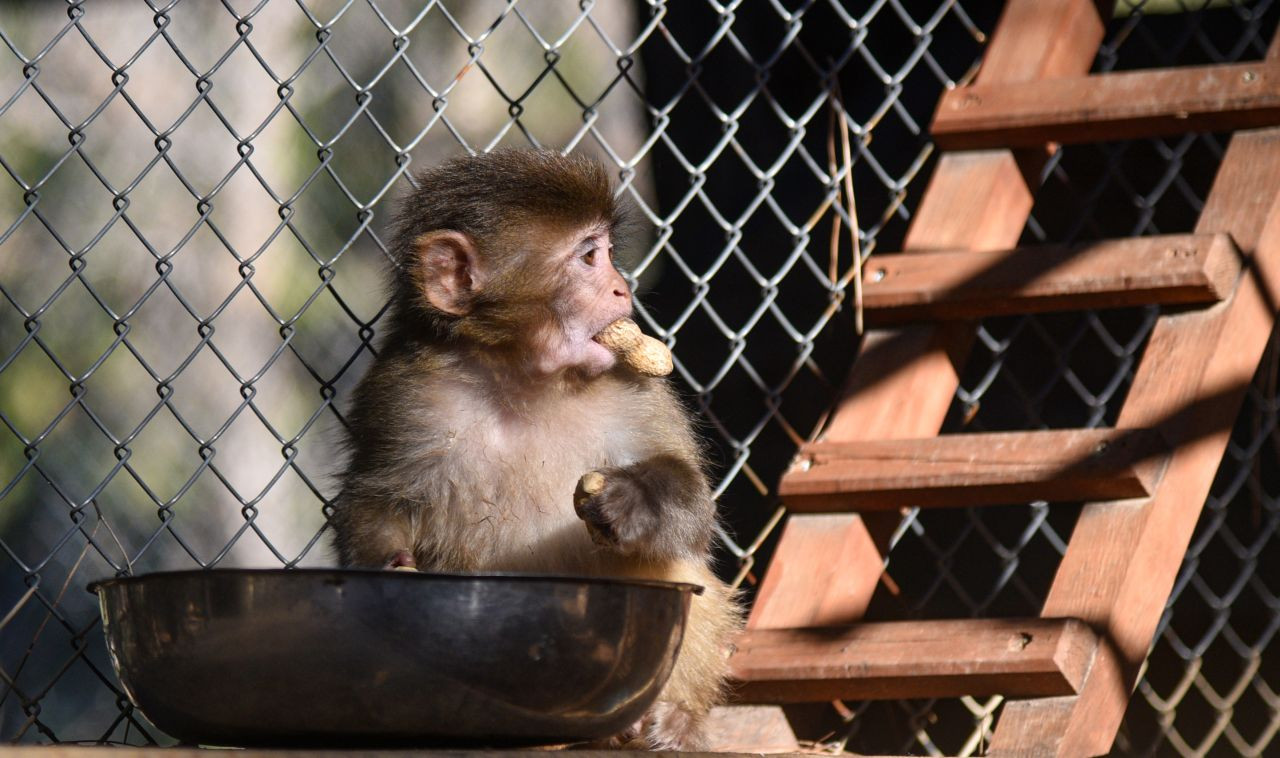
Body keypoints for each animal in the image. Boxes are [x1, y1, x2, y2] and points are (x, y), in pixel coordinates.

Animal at [332, 149, 742, 752]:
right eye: (589, 257)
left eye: (607, 254)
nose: (622, 288)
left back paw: (669, 723)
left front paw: (635, 499)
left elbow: (693, 510)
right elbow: (375, 499)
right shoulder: (402, 392)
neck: (522, 379)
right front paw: (389, 568)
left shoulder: (638, 387)